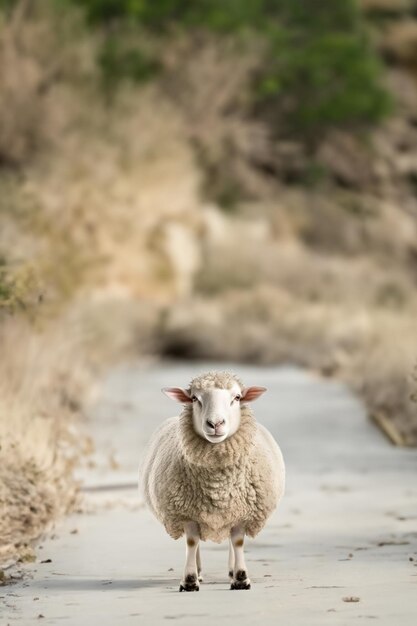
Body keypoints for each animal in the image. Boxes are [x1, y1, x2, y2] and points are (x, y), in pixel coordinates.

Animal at [138, 370, 284, 588]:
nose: (215, 424)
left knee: (231, 541)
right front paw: (190, 580)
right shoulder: (187, 513)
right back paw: (198, 572)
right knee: (196, 542)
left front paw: (241, 578)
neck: (217, 487)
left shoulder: (241, 512)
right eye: (194, 398)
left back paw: (231, 571)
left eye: (237, 397)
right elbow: (192, 542)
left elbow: (238, 541)